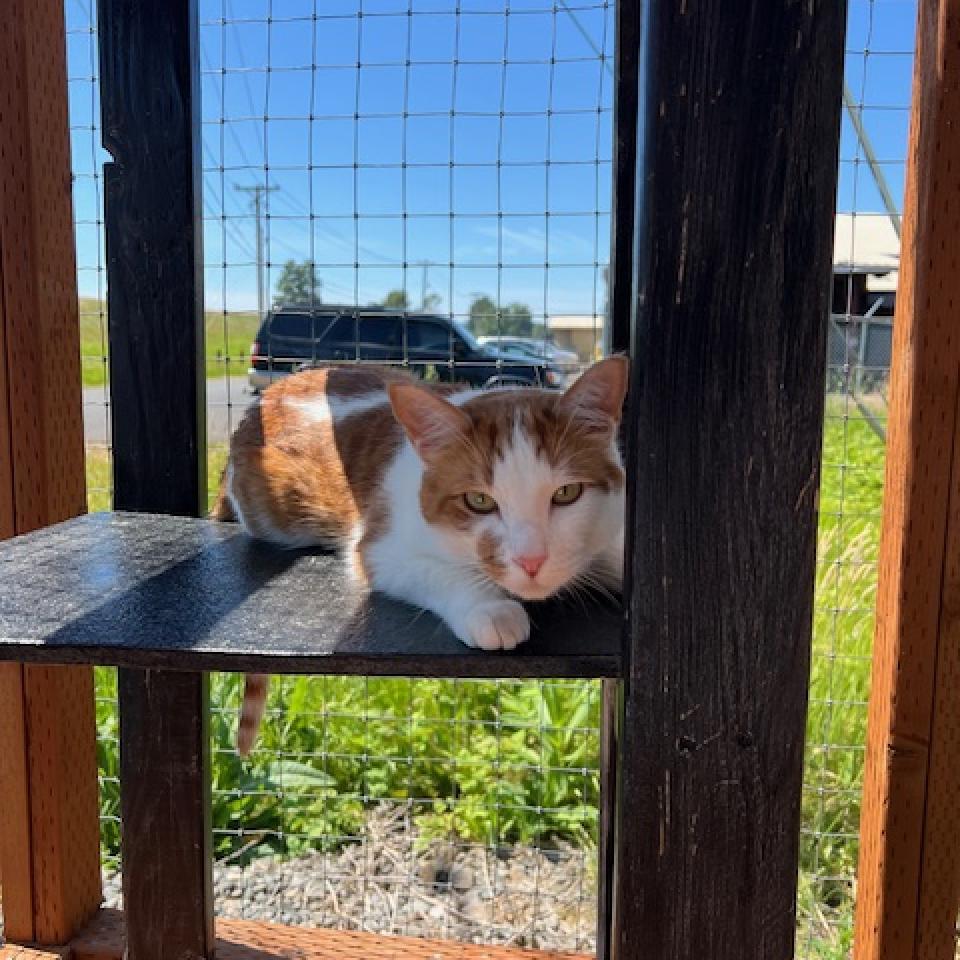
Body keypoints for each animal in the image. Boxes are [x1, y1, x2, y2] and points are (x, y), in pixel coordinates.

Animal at [213, 356, 628, 752]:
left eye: (567, 493)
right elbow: (441, 572)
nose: (531, 561)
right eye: (478, 501)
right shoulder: (379, 549)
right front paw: (490, 608)